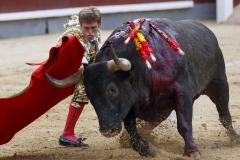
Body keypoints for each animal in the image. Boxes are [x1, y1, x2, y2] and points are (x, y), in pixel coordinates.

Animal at [45, 18, 240, 159]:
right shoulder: (130, 103)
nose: (107, 130)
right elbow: (132, 129)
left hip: (219, 83)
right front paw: (147, 149)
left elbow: (184, 124)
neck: (141, 67)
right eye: (90, 96)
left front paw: (192, 152)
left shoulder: (182, 92)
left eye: (112, 90)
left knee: (224, 114)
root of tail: (205, 29)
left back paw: (234, 139)